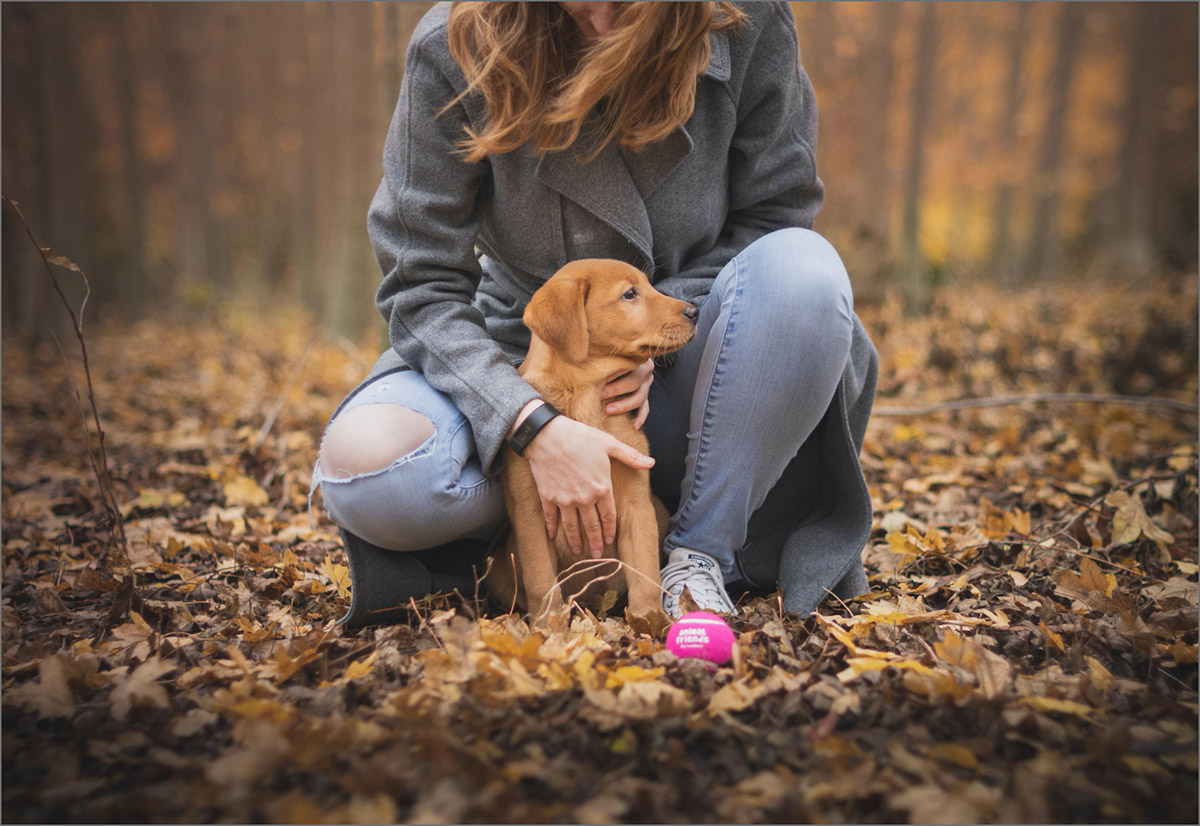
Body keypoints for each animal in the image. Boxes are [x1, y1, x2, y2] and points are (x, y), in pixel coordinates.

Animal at [484, 258, 696, 633]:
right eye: (630, 294)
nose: (695, 311)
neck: (585, 398)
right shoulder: (530, 513)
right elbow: (541, 582)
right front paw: (549, 630)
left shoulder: (637, 504)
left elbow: (645, 573)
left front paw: (650, 623)